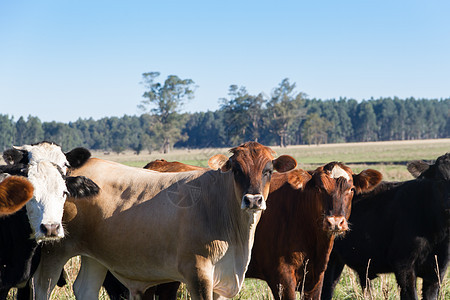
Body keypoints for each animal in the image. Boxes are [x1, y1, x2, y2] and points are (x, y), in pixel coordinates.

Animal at [31, 141, 298, 300]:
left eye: (268, 170)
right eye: (236, 169)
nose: (253, 200)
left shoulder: (223, 280)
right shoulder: (198, 272)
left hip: (94, 256)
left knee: (85, 288)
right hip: (54, 250)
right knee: (41, 287)